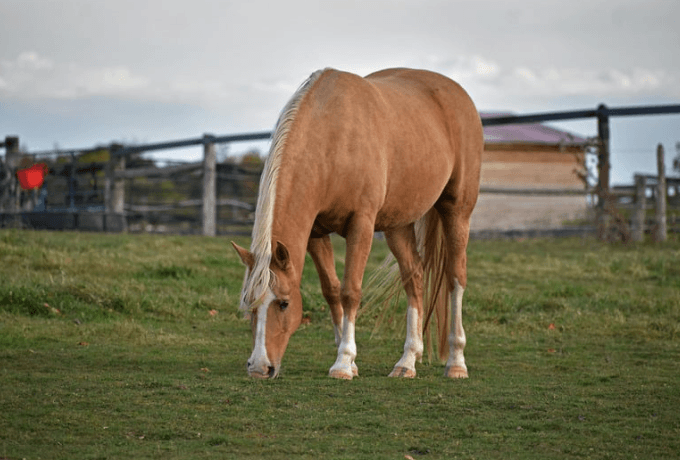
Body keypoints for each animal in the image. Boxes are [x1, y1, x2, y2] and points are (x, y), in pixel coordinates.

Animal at [232, 67, 483, 380]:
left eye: (284, 303)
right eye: (249, 303)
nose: (258, 367)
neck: (332, 138)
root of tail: (458, 94)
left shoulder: (360, 224)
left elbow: (350, 291)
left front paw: (343, 362)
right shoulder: (315, 233)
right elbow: (331, 290)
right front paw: (350, 360)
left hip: (457, 211)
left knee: (456, 278)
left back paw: (457, 362)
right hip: (398, 224)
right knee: (414, 277)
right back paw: (407, 361)